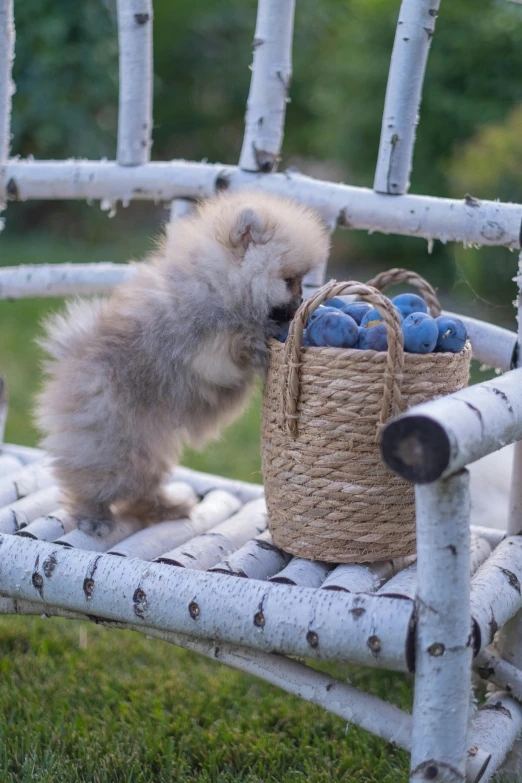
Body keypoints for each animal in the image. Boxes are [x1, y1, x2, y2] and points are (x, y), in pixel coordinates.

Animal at [35, 188, 330, 540]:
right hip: (108, 436)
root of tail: (69, 358)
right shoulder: (202, 344)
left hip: (147, 447)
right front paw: (258, 344)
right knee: (94, 477)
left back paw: (165, 508)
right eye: (289, 280)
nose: (300, 304)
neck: (218, 285)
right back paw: (93, 516)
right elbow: (233, 345)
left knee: (140, 485)